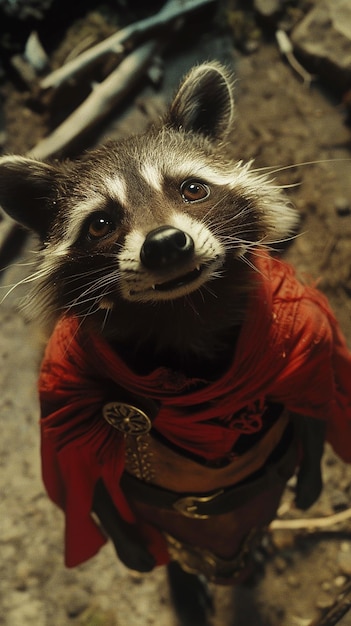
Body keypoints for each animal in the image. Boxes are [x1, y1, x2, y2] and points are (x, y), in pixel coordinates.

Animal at [0, 59, 351, 624]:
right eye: (101, 223)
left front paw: (312, 475)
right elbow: (81, 470)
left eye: (192, 189)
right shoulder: (65, 381)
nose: (165, 245)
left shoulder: (302, 332)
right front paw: (133, 547)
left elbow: (311, 403)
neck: (182, 311)